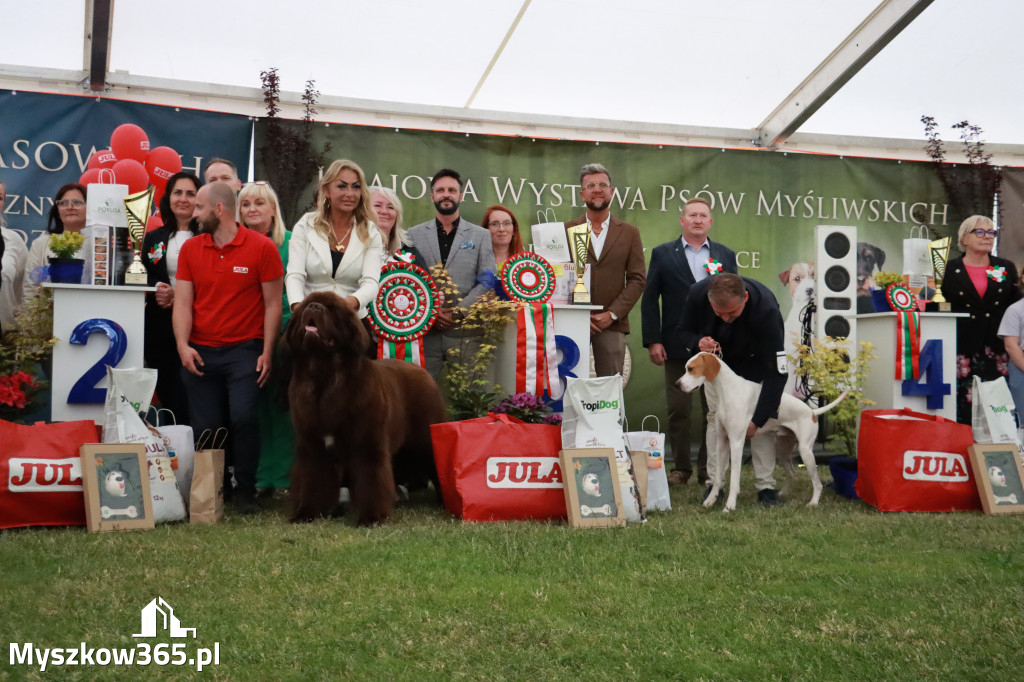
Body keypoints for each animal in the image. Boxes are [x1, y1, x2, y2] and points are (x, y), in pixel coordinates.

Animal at [280, 288, 444, 522]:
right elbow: (312, 479)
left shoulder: (367, 441)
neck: (324, 375)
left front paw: (371, 517)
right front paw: (306, 513)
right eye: (305, 306)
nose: (314, 307)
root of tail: (421, 371)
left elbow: (370, 479)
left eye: (331, 309)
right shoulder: (312, 444)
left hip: (425, 438)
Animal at [679, 350, 847, 509]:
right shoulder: (721, 443)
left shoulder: (736, 443)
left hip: (805, 452)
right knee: (792, 473)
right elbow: (718, 478)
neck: (728, 390)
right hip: (782, 452)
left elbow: (734, 480)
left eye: (691, 368)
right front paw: (710, 501)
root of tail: (812, 412)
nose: (677, 384)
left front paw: (730, 506)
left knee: (817, 483)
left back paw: (813, 503)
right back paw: (781, 494)